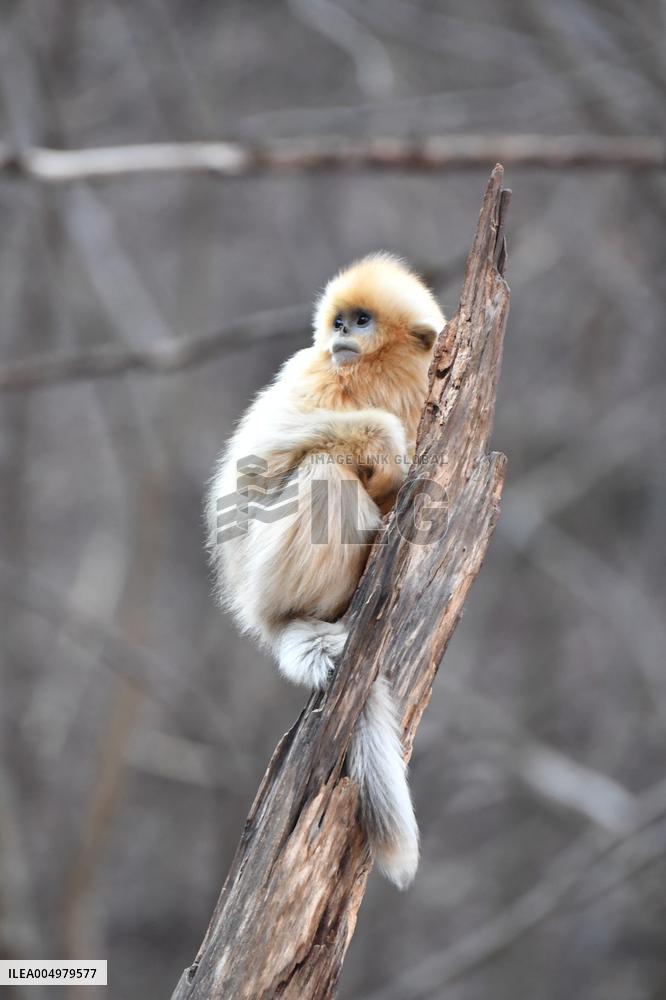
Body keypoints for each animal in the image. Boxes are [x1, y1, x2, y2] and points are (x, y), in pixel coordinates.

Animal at [205, 253, 445, 888]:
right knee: (323, 471)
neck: (379, 374)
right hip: (264, 581)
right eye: (340, 321)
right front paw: (389, 453)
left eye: (362, 320)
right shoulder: (314, 373)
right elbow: (251, 475)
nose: (341, 335)